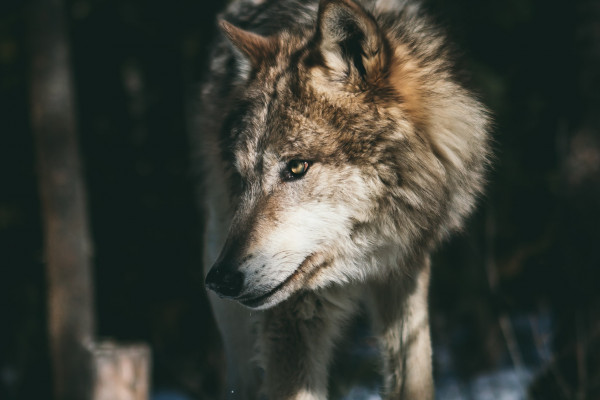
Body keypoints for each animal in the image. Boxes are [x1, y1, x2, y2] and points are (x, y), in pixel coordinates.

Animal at [195, 0, 490, 398]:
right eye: (241, 179)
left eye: (297, 166)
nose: (220, 280)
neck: (360, 260)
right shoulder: (293, 315)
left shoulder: (405, 273)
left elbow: (413, 377)